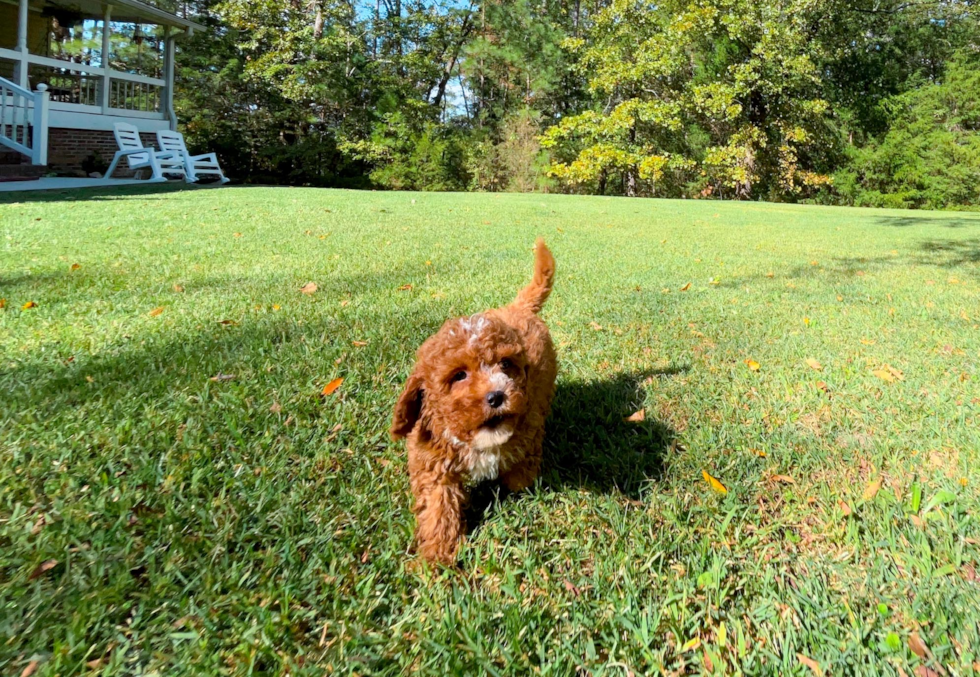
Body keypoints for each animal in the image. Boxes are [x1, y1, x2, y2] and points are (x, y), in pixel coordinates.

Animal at [392, 240, 560, 564]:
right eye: (459, 375)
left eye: (506, 364)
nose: (496, 395)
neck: (479, 440)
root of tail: (516, 307)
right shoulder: (433, 459)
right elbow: (438, 504)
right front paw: (438, 554)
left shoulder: (530, 419)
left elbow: (524, 464)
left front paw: (520, 479)